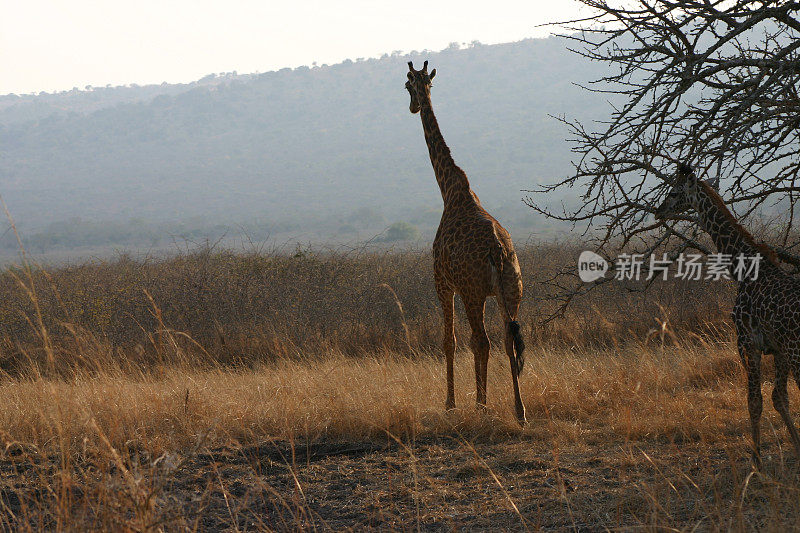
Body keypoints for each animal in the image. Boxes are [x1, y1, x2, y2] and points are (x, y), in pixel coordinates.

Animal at [404, 59, 528, 424]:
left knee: (482, 340)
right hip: (511, 290)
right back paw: (519, 410)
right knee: (508, 340)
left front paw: (451, 403)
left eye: (407, 85)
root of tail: (498, 252)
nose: (413, 106)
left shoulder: (443, 283)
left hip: (474, 292)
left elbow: (450, 341)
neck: (449, 190)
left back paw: (482, 406)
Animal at [656, 162, 800, 466]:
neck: (744, 268)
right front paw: (797, 448)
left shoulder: (747, 341)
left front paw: (757, 462)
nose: (659, 210)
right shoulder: (778, 348)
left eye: (674, 192)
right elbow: (779, 398)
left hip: (796, 352)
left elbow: (755, 401)